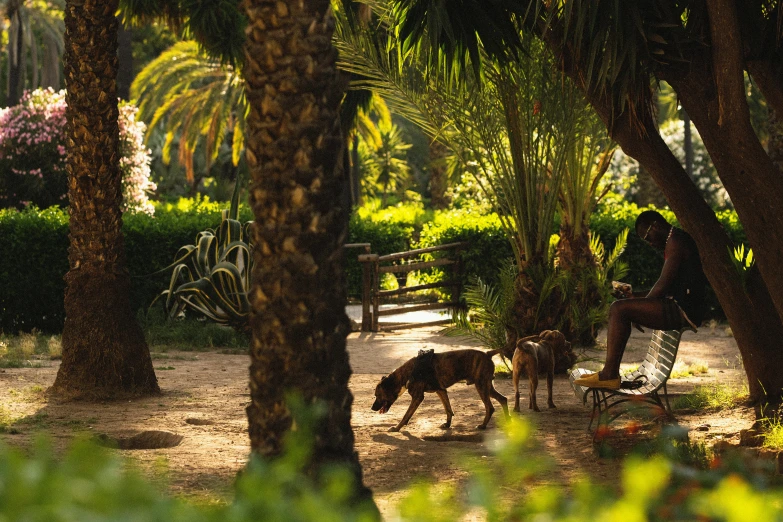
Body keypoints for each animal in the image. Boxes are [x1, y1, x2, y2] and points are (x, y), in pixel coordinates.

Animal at [372, 348, 512, 428]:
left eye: (378, 395)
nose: (372, 408)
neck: (406, 373)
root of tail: (488, 354)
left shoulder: (417, 397)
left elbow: (406, 415)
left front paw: (397, 427)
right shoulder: (441, 391)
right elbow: (448, 409)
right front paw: (448, 424)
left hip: (481, 386)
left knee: (490, 407)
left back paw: (483, 425)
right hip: (487, 387)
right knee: (503, 399)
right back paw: (508, 421)